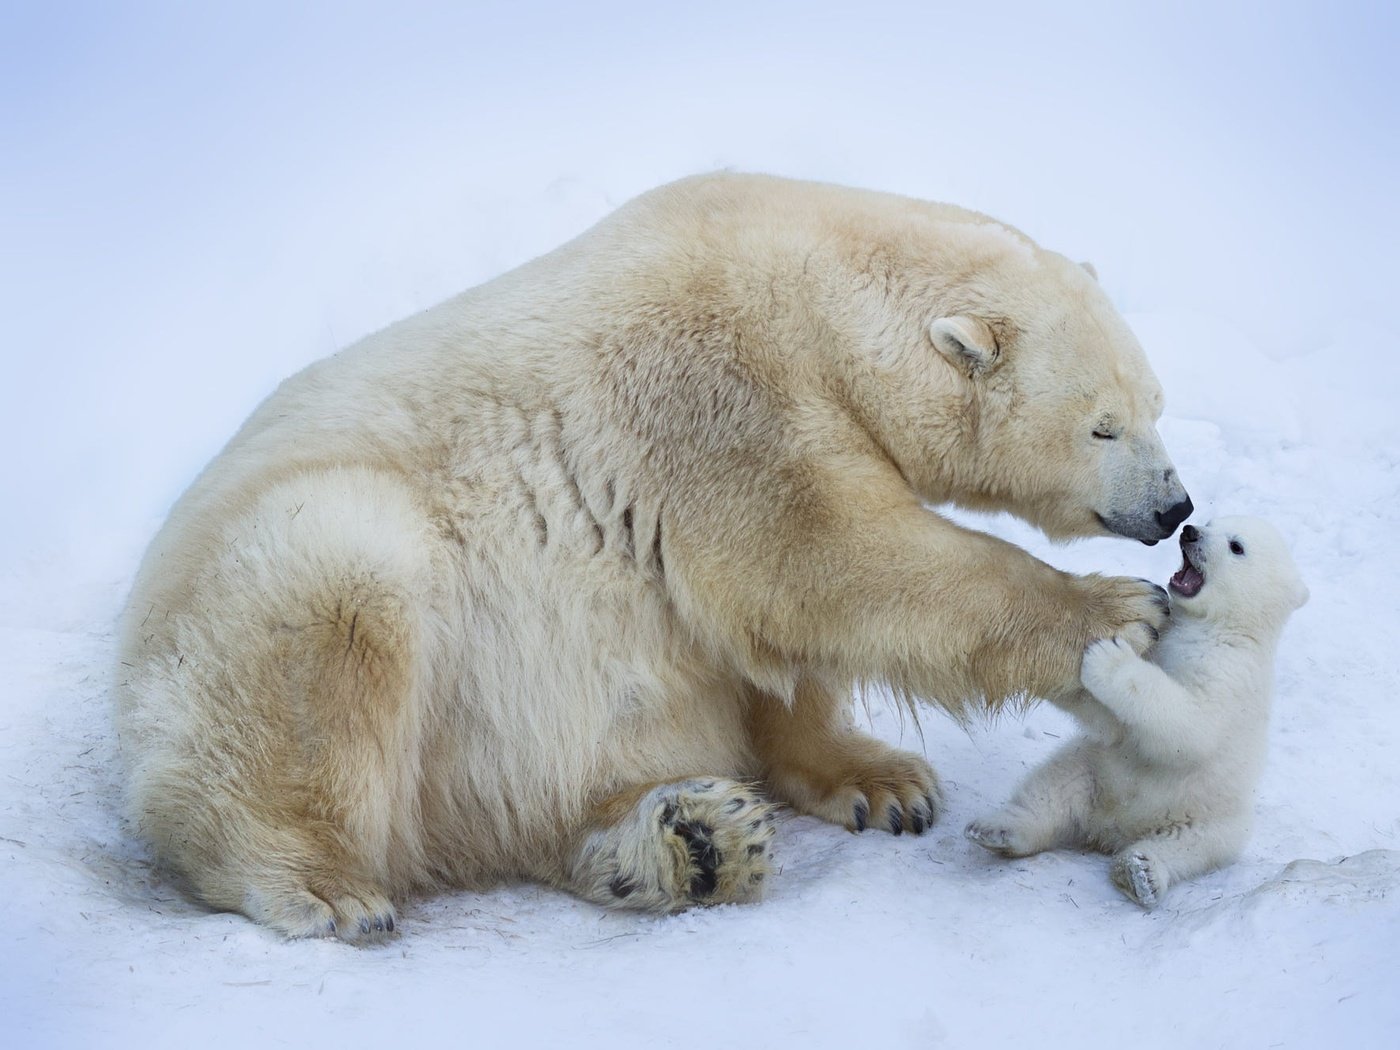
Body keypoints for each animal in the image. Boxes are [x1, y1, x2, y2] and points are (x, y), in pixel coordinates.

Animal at [117, 175, 1192, 946]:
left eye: (1155, 405)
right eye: (1102, 426)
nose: (1174, 506)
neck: (807, 290)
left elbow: (767, 642)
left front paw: (883, 784)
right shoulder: (710, 390)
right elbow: (824, 557)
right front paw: (1118, 614)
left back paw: (692, 842)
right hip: (276, 594)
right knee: (329, 608)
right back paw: (323, 883)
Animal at [968, 515, 1304, 907]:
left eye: (1236, 546)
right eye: (1211, 521)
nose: (1190, 531)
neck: (1218, 626)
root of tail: (1114, 828)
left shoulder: (1229, 673)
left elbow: (1191, 726)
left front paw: (1108, 655)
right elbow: (1114, 725)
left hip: (1213, 817)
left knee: (1192, 846)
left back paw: (1141, 873)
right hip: (1091, 770)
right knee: (1051, 791)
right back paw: (997, 830)